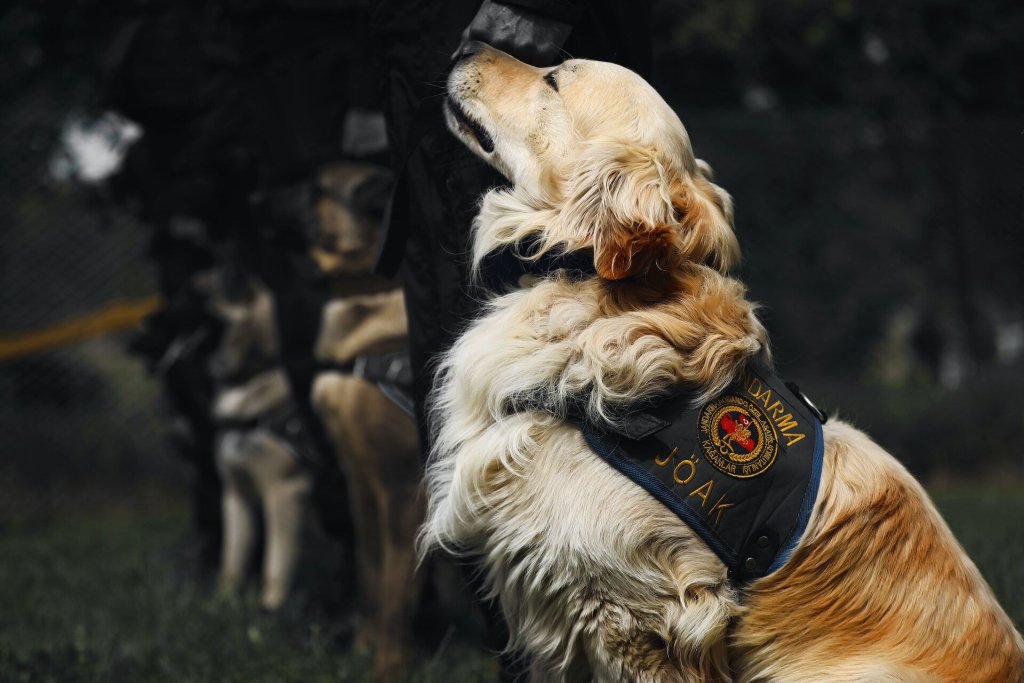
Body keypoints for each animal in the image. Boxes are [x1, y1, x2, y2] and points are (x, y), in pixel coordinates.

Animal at [199, 270, 311, 610]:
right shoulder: (235, 494)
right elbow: (232, 558)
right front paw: (221, 601)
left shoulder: (284, 492)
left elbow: (276, 561)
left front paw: (270, 608)